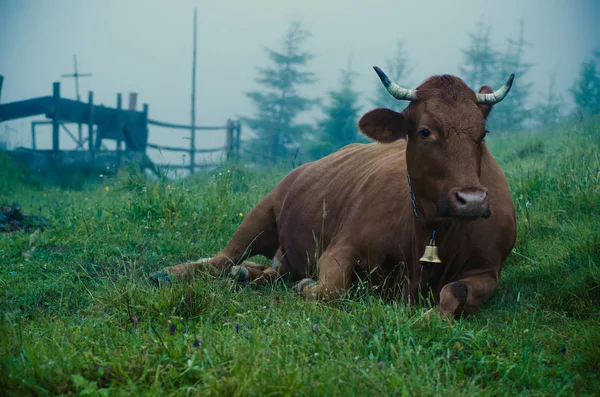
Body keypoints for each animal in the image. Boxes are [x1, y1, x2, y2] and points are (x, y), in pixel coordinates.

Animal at [152, 65, 516, 318]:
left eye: (483, 134)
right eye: (426, 131)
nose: (472, 201)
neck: (433, 233)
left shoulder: (489, 270)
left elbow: (456, 291)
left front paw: (433, 316)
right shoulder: (343, 246)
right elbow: (330, 290)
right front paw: (307, 287)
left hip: (286, 253)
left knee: (267, 270)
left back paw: (246, 273)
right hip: (262, 211)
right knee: (220, 260)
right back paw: (170, 273)